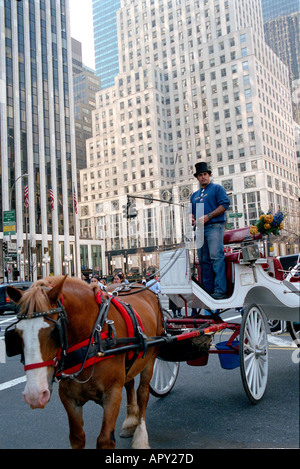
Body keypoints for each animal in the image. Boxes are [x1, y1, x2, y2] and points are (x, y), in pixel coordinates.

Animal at [6, 276, 164, 448]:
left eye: (54, 332)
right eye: (16, 333)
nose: (34, 395)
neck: (94, 338)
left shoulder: (112, 393)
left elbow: (105, 439)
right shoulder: (68, 397)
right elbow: (77, 437)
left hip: (151, 357)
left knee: (142, 393)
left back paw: (141, 437)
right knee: (129, 384)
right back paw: (130, 421)